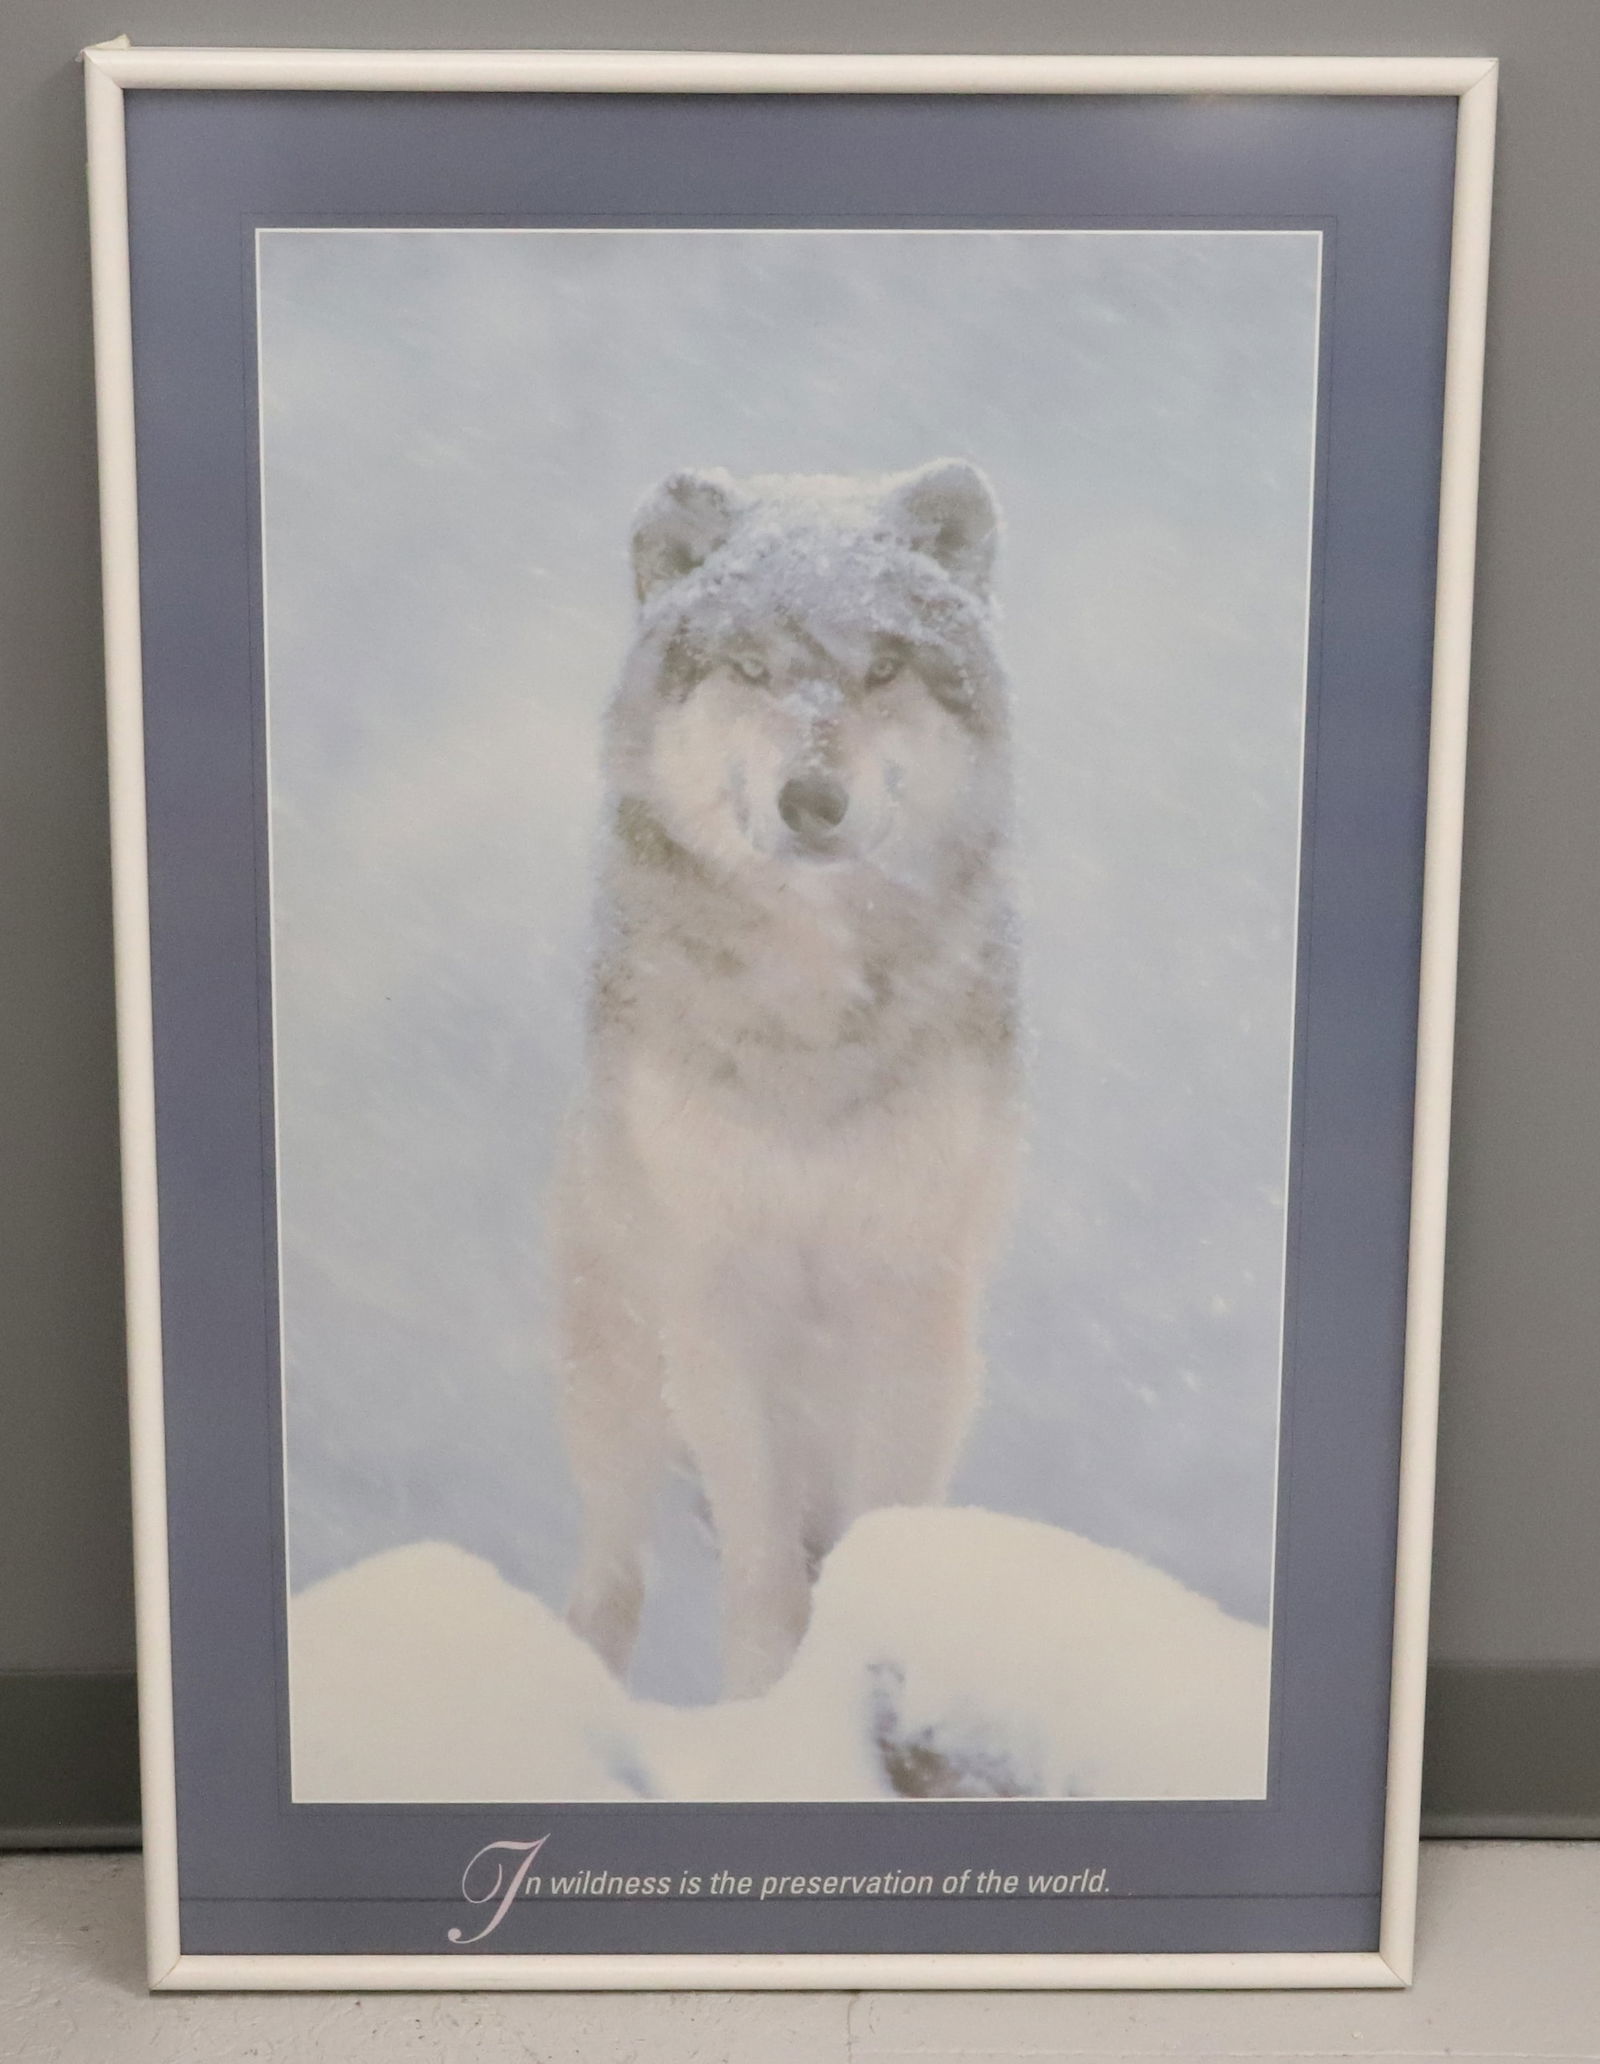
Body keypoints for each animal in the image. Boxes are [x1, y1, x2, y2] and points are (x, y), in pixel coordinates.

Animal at [554, 459, 1020, 1700]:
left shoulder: (910, 1293)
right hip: (618, 1363)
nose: (812, 800)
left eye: (883, 668)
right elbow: (762, 1566)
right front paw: (763, 1706)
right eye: (752, 669)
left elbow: (875, 1523)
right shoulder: (718, 1296)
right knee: (613, 1573)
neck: (809, 1016)